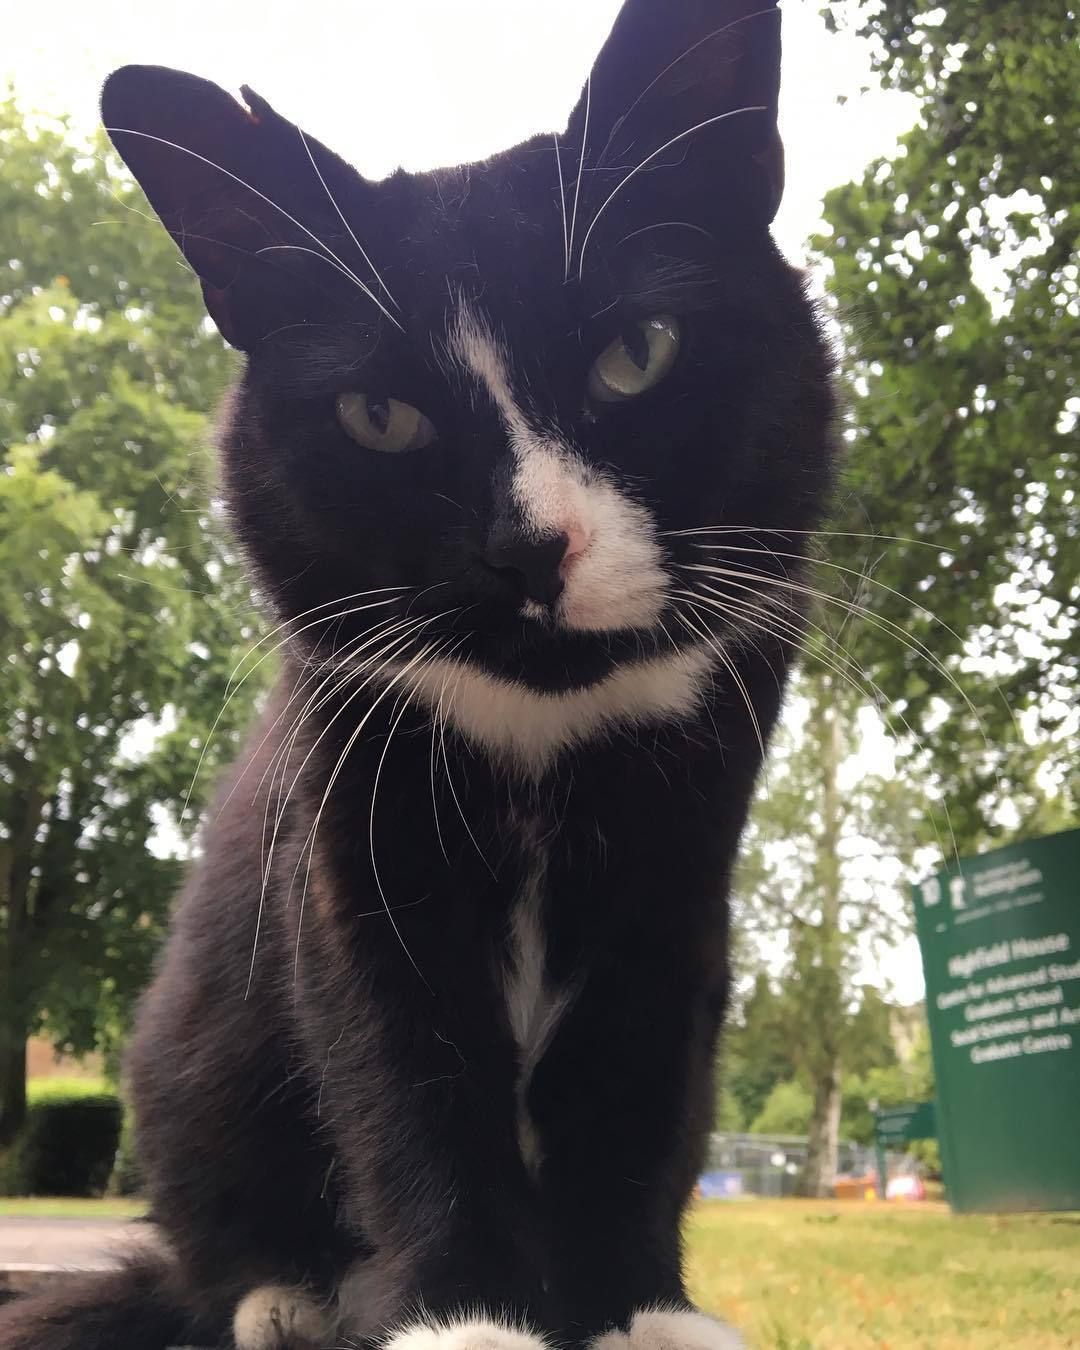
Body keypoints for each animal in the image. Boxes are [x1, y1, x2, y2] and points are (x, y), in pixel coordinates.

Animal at [0, 2, 837, 1350]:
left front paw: (636, 1309)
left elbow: (636, 1077)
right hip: (193, 1068)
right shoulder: (355, 843)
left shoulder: (682, 859)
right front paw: (470, 1318)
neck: (547, 736)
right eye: (379, 418)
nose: (530, 546)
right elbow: (407, 1078)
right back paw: (284, 1300)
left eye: (637, 352)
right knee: (206, 1255)